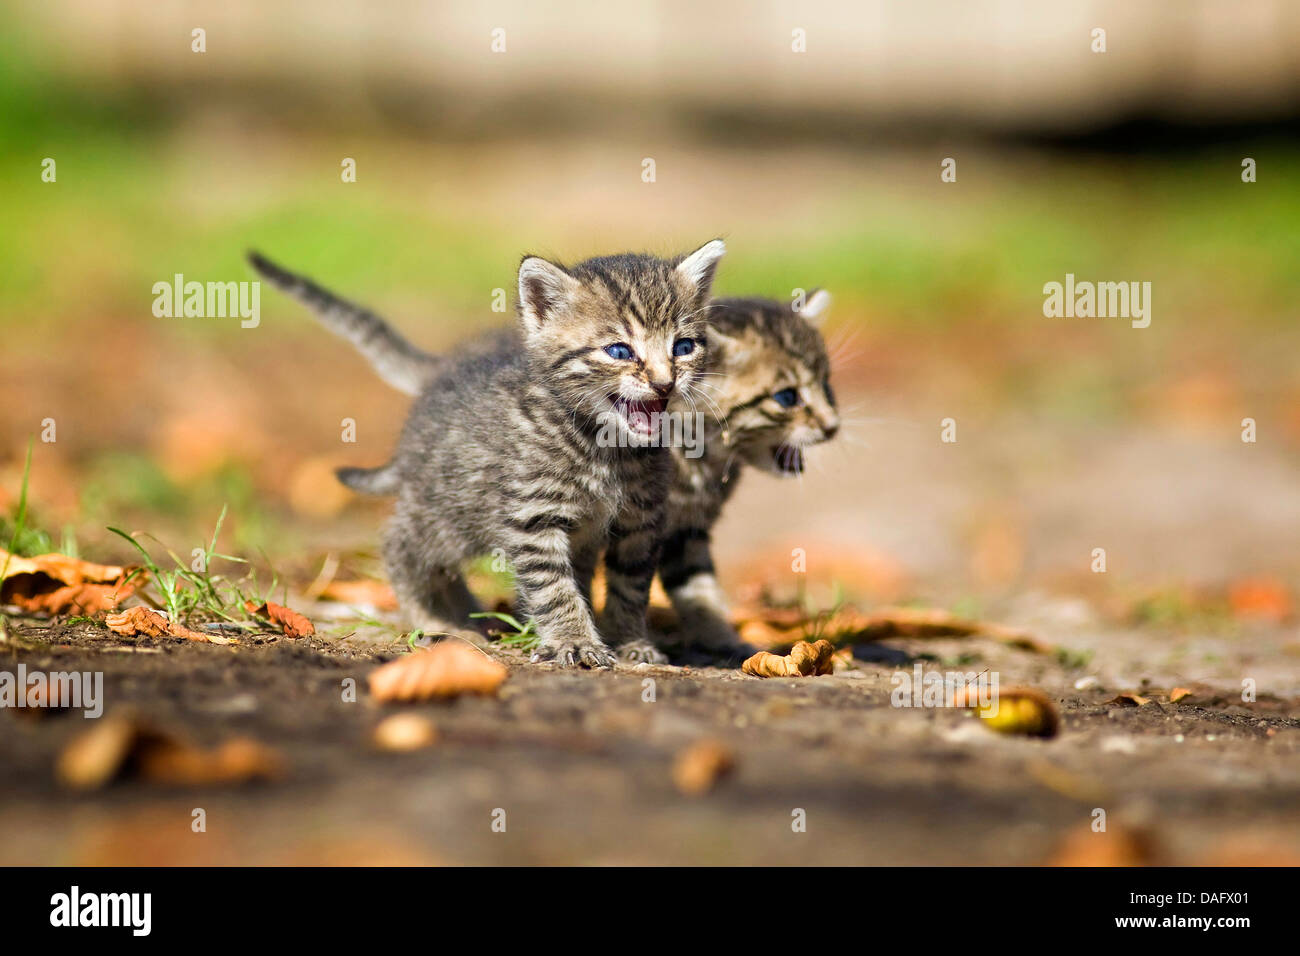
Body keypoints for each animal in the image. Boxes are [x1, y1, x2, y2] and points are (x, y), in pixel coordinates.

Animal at [248, 243, 728, 671]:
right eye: (620, 351)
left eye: (683, 347)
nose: (665, 383)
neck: (607, 450)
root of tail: (442, 371)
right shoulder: (534, 516)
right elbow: (554, 588)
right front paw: (573, 641)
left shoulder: (640, 523)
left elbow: (631, 586)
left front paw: (630, 641)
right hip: (447, 509)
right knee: (401, 544)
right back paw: (432, 619)